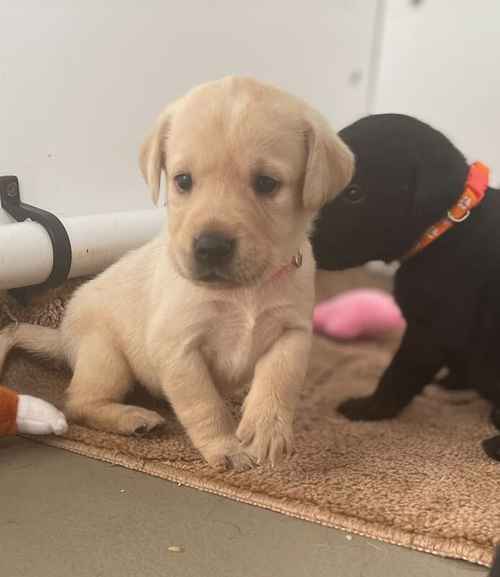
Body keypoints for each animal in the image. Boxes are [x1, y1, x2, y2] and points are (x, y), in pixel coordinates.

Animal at [0, 76, 352, 466]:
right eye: (183, 180)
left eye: (266, 183)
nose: (210, 247)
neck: (242, 290)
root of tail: (62, 338)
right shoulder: (178, 346)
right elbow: (204, 404)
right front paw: (226, 447)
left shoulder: (293, 330)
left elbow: (279, 378)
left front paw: (266, 428)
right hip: (105, 354)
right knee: (79, 402)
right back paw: (132, 417)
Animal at [312, 115, 500, 462]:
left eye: (354, 193)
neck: (443, 227)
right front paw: (454, 381)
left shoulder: (426, 334)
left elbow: (397, 376)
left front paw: (368, 409)